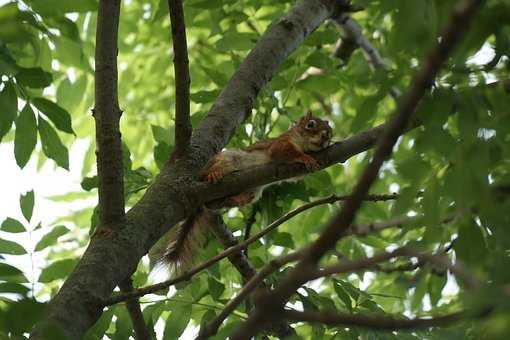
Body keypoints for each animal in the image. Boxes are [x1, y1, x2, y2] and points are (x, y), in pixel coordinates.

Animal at [149, 111, 332, 274]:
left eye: (330, 133)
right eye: (310, 125)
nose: (325, 137)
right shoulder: (280, 143)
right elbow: (287, 152)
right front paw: (306, 158)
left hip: (254, 192)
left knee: (220, 202)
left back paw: (236, 200)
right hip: (227, 159)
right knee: (214, 173)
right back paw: (213, 174)